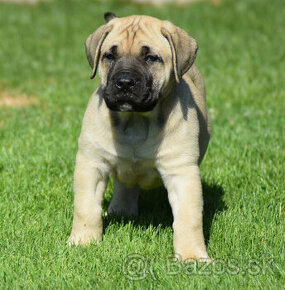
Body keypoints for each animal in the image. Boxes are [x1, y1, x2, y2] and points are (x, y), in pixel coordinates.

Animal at [67, 11, 211, 262]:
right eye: (109, 56)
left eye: (151, 58)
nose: (124, 82)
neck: (136, 120)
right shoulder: (92, 163)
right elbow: (86, 208)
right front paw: (83, 241)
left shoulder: (182, 171)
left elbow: (188, 218)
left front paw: (192, 256)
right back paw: (120, 210)